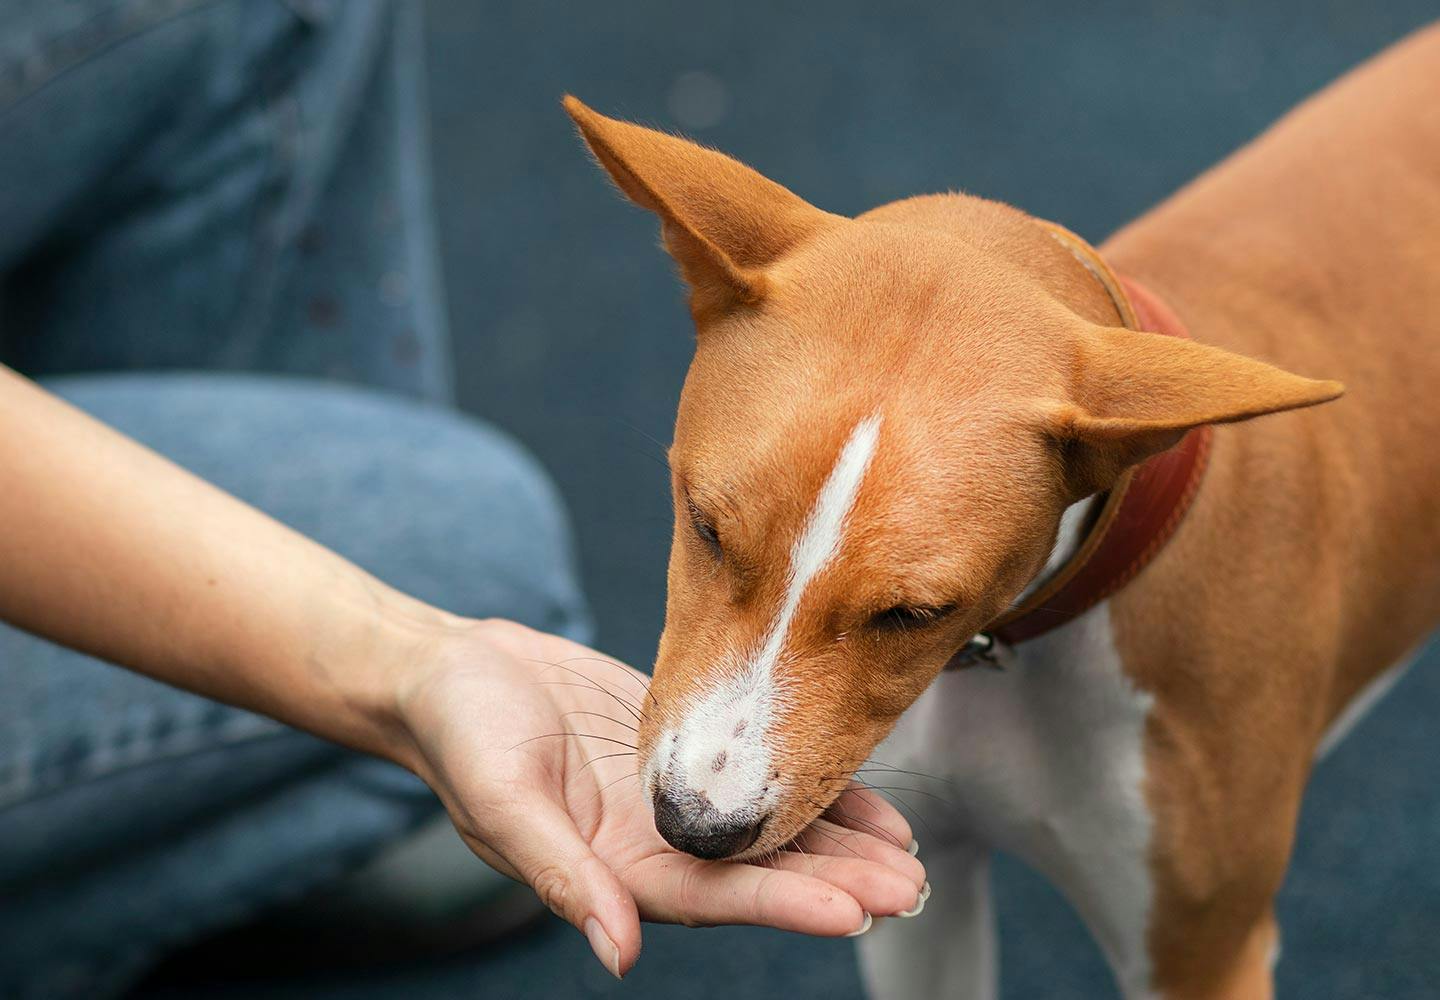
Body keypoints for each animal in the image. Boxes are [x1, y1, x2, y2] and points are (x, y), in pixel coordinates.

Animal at [561, 23, 1440, 1000]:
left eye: (914, 614)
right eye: (707, 528)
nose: (695, 825)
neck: (1007, 651)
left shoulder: (1203, 957)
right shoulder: (922, 886)